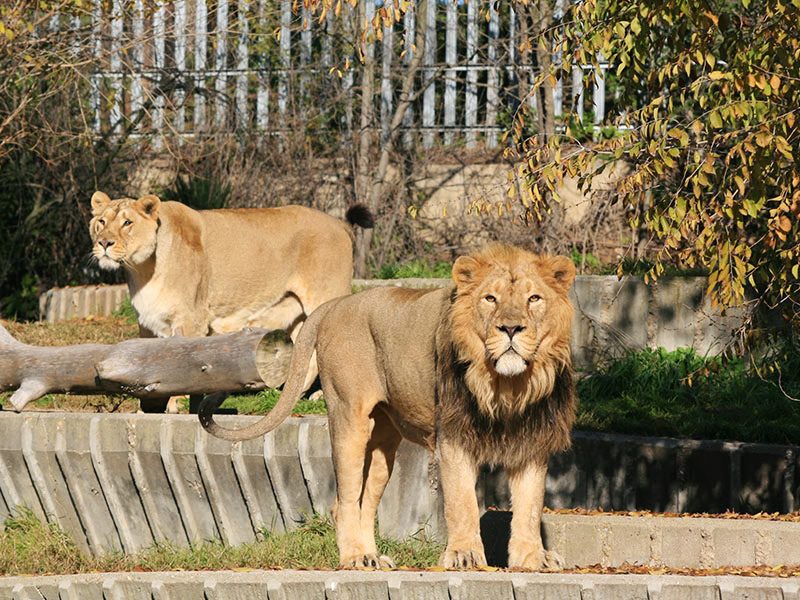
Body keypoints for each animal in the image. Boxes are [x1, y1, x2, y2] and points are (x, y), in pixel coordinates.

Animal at [90, 190, 372, 410]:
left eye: (127, 222)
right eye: (101, 222)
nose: (104, 243)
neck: (143, 269)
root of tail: (339, 224)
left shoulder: (191, 319)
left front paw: (177, 403)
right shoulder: (147, 323)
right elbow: (145, 363)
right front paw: (148, 408)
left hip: (326, 298)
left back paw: (319, 396)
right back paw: (285, 394)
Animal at [200, 243, 576, 568]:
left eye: (534, 298)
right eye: (490, 299)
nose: (511, 328)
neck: (508, 385)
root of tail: (336, 304)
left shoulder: (532, 440)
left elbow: (529, 506)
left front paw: (534, 558)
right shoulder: (453, 436)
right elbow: (462, 502)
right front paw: (465, 556)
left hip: (383, 445)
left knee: (365, 502)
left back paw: (371, 557)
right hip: (348, 418)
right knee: (344, 502)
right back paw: (353, 558)